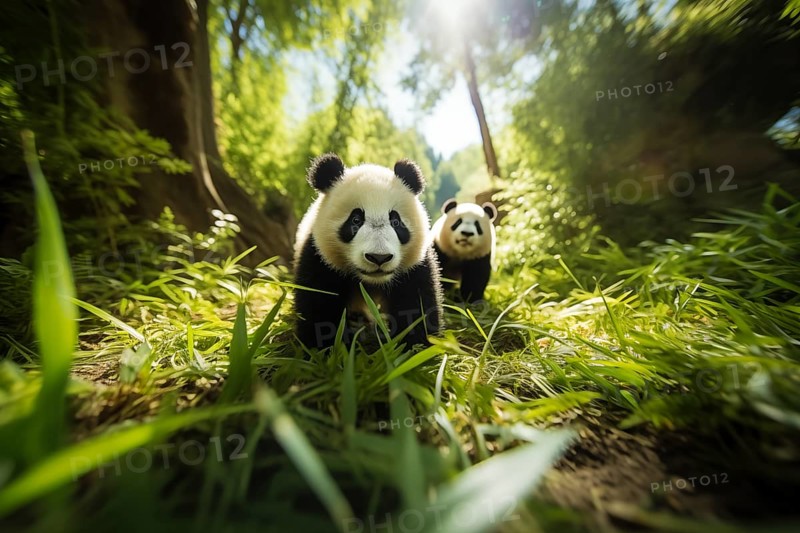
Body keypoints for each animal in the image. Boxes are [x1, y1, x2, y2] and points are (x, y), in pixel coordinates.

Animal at [293, 153, 443, 350]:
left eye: (396, 222)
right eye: (356, 220)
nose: (379, 257)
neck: (371, 281)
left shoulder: (415, 266)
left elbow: (416, 306)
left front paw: (415, 347)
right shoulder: (319, 257)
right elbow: (319, 306)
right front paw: (323, 348)